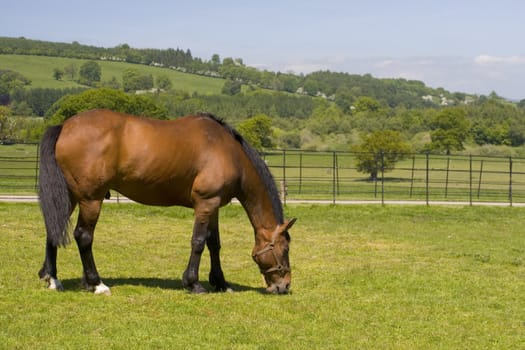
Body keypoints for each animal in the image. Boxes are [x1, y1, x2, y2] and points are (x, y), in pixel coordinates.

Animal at [37, 109, 294, 296]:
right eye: (285, 249)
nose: (284, 285)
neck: (228, 151)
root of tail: (64, 127)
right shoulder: (206, 203)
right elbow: (198, 242)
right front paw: (193, 283)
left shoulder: (214, 207)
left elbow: (214, 243)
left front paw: (220, 282)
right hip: (91, 199)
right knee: (83, 236)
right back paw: (97, 283)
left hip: (70, 196)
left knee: (53, 230)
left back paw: (53, 279)